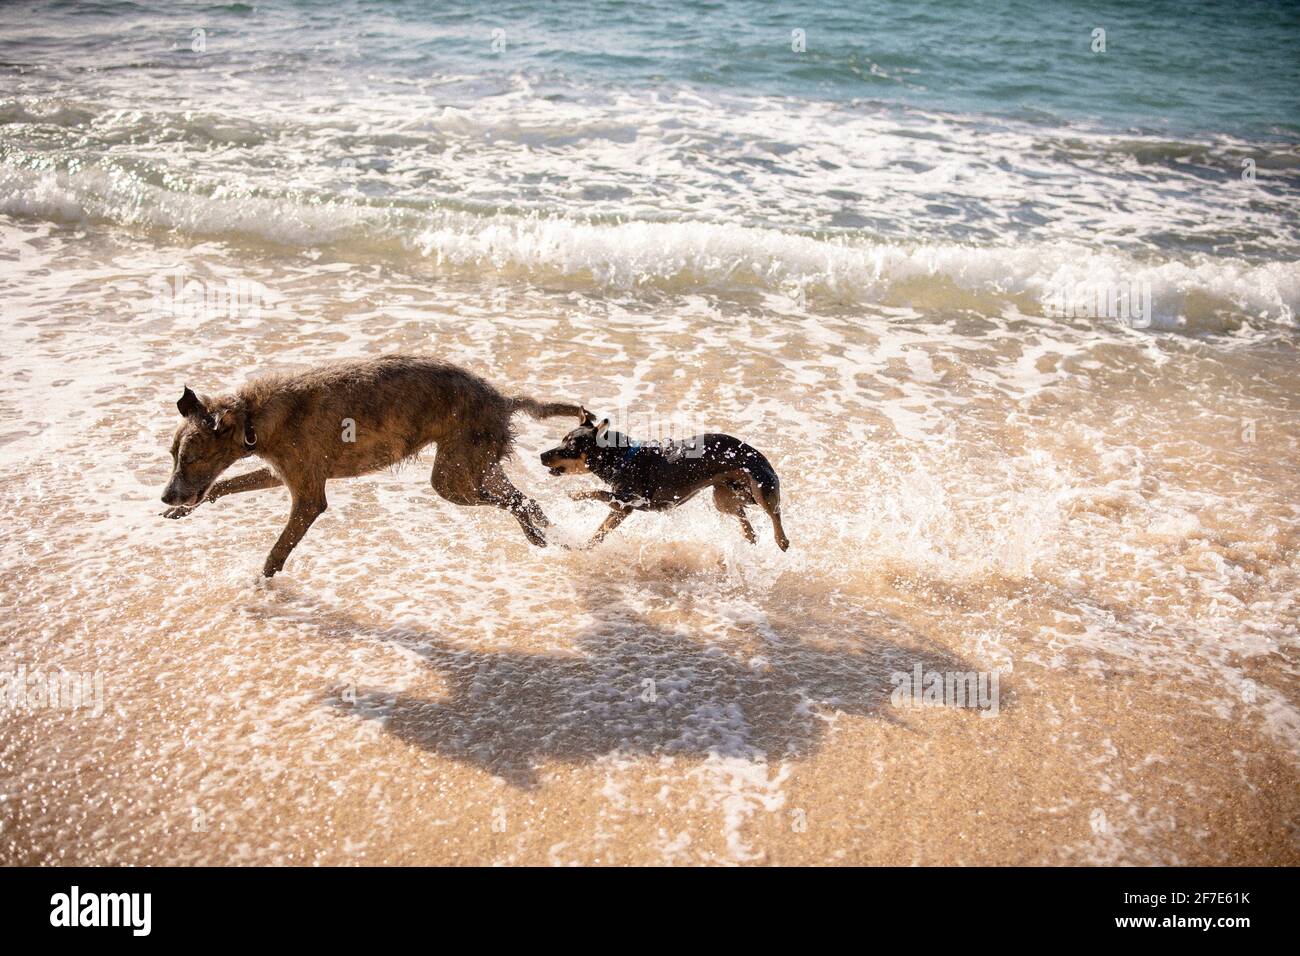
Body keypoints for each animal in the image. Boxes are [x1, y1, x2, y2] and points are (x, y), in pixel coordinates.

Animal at [165, 356, 582, 572]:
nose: (166, 497)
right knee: (525, 499)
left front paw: (259, 584)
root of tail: (503, 399)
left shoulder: (309, 498)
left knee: (513, 503)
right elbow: (223, 485)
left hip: (451, 480)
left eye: (190, 457)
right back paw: (547, 531)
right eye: (172, 456)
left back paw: (538, 534)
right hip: (474, 469)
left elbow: (277, 552)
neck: (254, 416)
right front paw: (184, 511)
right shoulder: (281, 473)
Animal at [540, 408, 785, 548]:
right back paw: (750, 534)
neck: (621, 458)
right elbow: (600, 531)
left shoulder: (628, 502)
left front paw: (576, 494)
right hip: (722, 496)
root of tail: (757, 453)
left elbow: (596, 492)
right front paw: (585, 546)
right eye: (562, 440)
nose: (542, 455)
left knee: (774, 512)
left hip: (761, 487)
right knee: (742, 511)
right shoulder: (619, 509)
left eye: (570, 447)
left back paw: (781, 539)